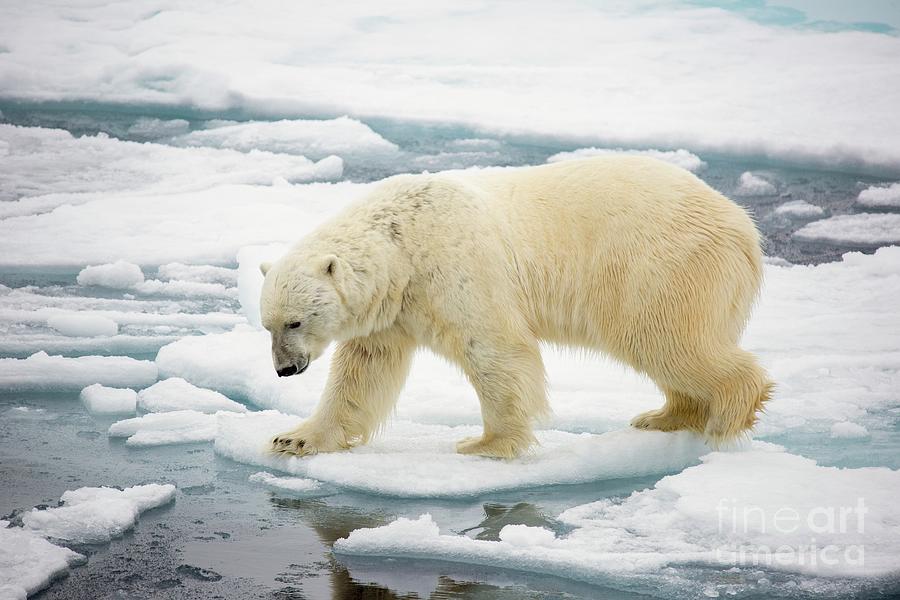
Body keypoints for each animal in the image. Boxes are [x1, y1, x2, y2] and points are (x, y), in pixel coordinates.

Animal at [262, 157, 772, 458]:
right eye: (268, 326)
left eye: (296, 320)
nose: (285, 369)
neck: (401, 241)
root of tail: (744, 228)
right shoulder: (394, 307)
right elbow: (362, 371)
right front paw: (294, 437)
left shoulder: (456, 269)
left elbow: (494, 350)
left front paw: (485, 443)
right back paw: (664, 416)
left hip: (662, 266)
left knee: (669, 340)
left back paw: (726, 418)